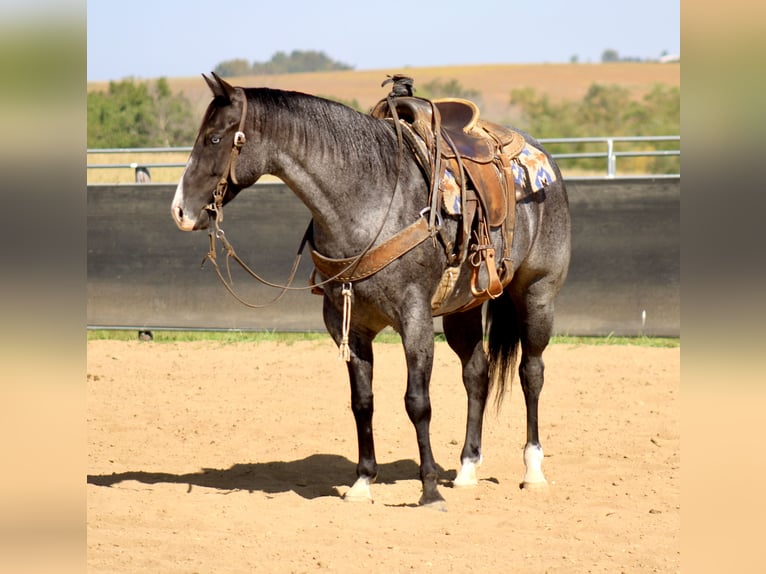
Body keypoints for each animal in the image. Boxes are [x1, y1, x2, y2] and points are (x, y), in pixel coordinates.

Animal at [172, 72, 568, 508]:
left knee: (531, 372)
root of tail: (541, 156)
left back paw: (532, 470)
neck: (368, 200)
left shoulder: (414, 319)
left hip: (536, 294)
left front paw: (429, 488)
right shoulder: (348, 325)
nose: (179, 210)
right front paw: (362, 482)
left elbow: (417, 402)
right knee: (476, 374)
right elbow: (362, 402)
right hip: (462, 308)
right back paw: (466, 469)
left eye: (214, 138)